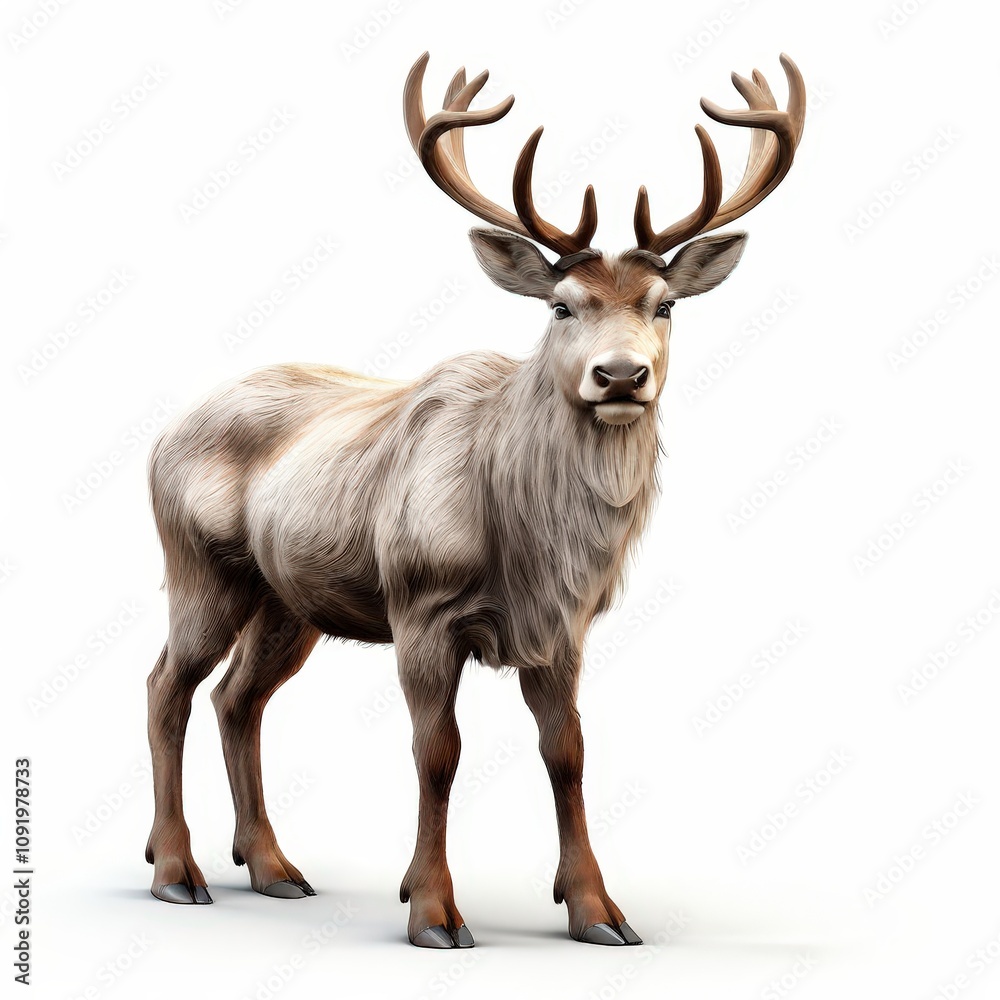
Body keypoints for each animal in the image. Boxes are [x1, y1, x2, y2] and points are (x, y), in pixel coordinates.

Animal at [143, 50, 804, 949]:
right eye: (561, 306)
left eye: (664, 305)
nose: (621, 375)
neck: (531, 546)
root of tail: (161, 439)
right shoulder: (421, 607)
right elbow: (438, 753)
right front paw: (432, 910)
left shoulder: (564, 628)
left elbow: (568, 751)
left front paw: (598, 912)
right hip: (200, 568)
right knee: (167, 686)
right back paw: (176, 871)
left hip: (288, 601)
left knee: (235, 697)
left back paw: (273, 866)